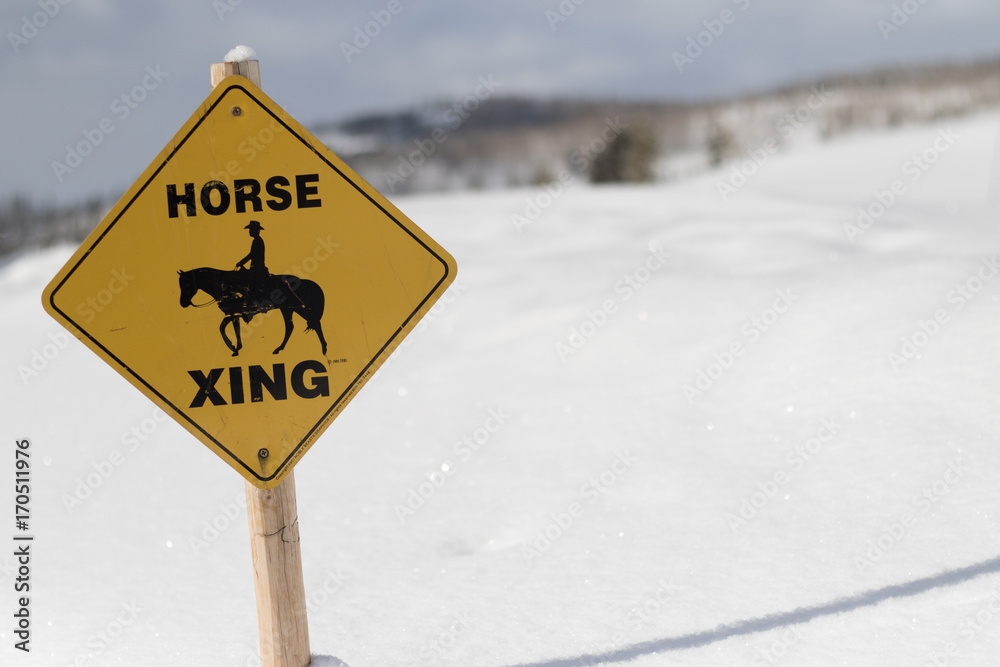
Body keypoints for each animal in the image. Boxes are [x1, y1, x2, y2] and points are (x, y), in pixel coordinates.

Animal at [178, 267, 328, 357]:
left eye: (186, 284)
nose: (182, 304)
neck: (224, 285)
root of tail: (303, 281)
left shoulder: (234, 313)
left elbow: (225, 329)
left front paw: (233, 348)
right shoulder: (234, 314)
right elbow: (229, 328)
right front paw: (236, 348)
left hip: (296, 307)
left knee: (314, 322)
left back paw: (324, 348)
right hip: (287, 309)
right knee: (291, 326)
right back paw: (279, 348)